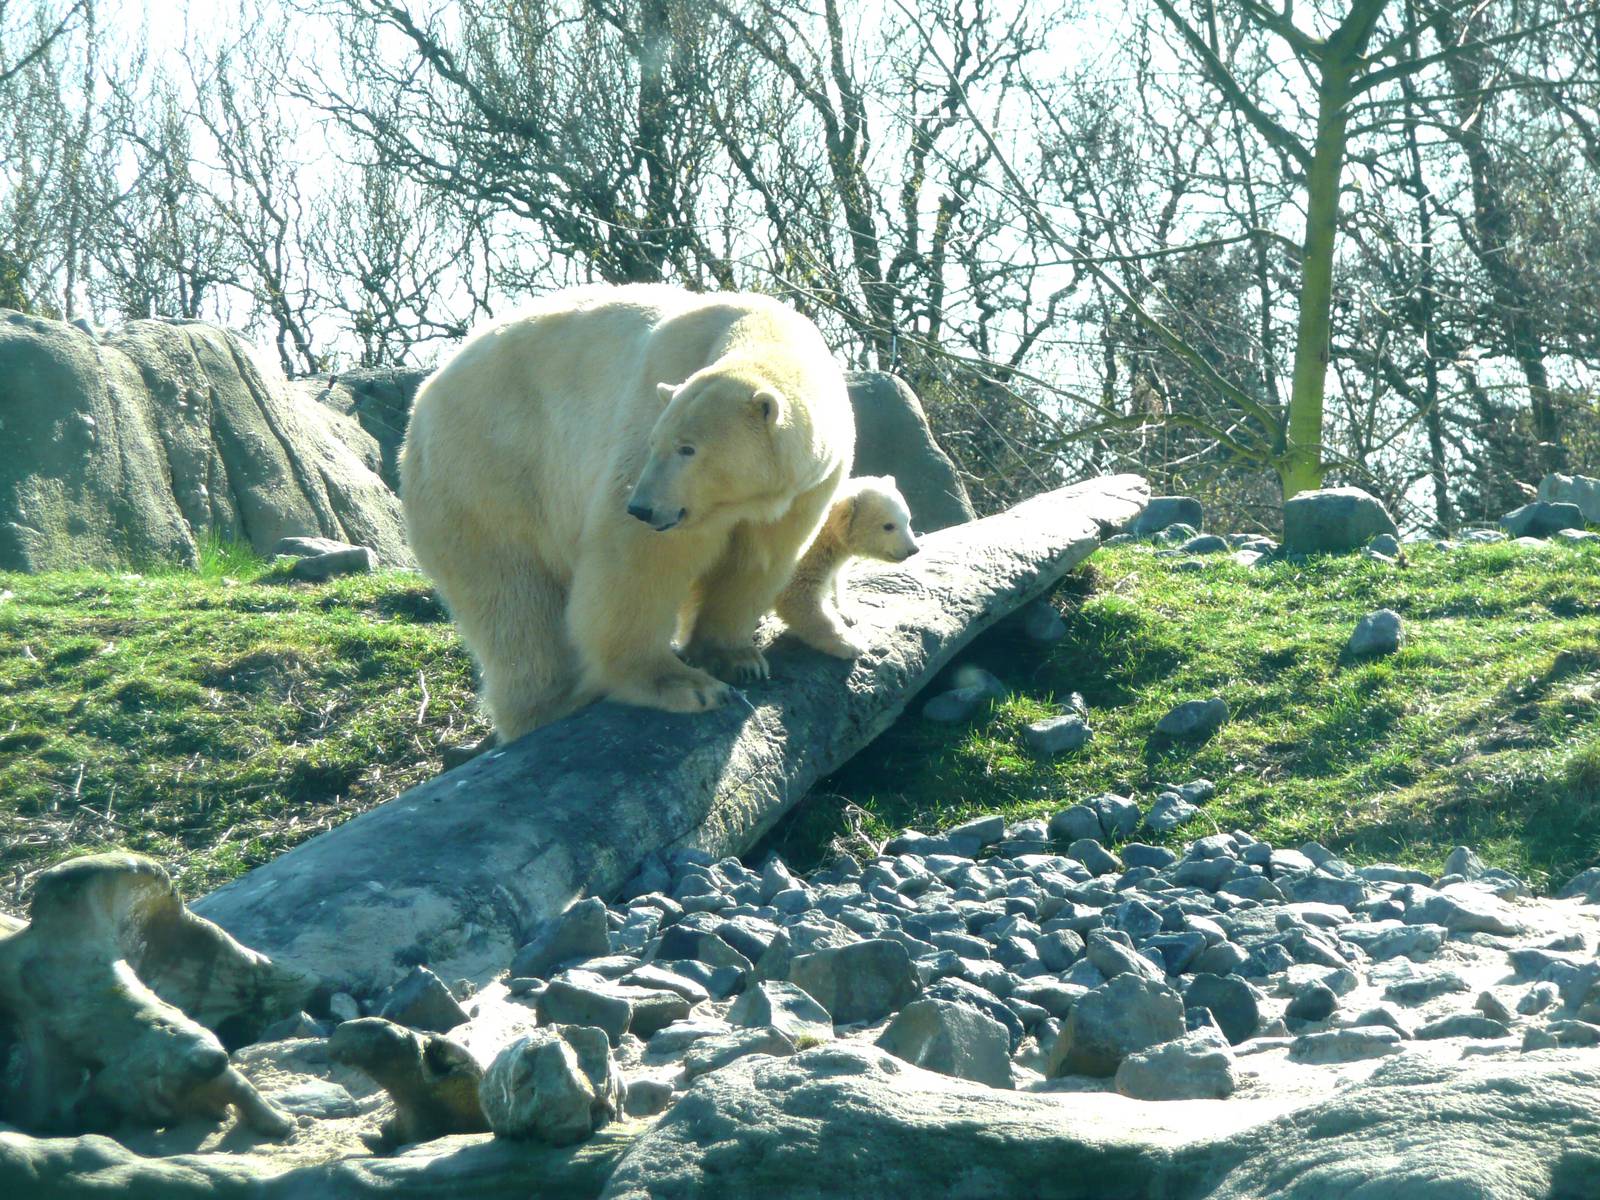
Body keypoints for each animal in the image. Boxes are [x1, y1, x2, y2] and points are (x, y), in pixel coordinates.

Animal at [399, 284, 855, 742]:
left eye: (688, 449)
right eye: (658, 443)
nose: (642, 507)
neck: (765, 329)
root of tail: (422, 401)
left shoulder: (804, 490)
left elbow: (758, 559)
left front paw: (738, 659)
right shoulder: (651, 419)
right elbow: (639, 562)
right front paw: (686, 684)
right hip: (488, 472)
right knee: (514, 601)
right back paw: (551, 705)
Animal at [775, 475, 919, 658]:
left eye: (908, 520)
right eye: (888, 526)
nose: (913, 550)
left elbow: (836, 577)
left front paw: (847, 612)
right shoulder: (795, 557)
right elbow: (799, 598)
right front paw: (852, 644)